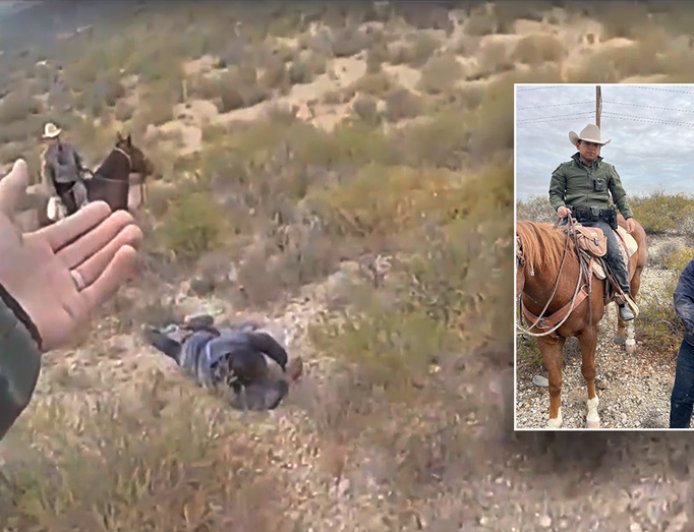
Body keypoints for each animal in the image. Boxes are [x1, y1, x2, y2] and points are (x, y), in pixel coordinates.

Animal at [515, 213, 648, 429]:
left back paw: (629, 340)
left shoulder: (588, 332)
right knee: (620, 303)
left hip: (636, 276)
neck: (558, 282)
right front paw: (554, 419)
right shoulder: (546, 339)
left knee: (631, 303)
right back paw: (619, 333)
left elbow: (588, 371)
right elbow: (554, 380)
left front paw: (592, 415)